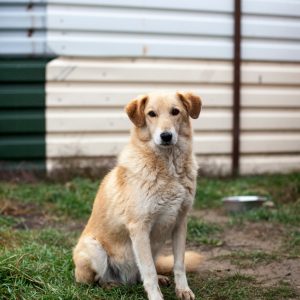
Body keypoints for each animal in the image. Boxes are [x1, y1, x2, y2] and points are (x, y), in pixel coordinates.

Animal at [73, 92, 202, 300]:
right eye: (151, 114)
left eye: (175, 111)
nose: (166, 136)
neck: (170, 168)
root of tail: (127, 279)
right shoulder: (139, 227)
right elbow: (148, 271)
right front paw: (156, 297)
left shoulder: (180, 222)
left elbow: (179, 264)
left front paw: (183, 290)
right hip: (94, 249)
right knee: (96, 281)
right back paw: (111, 284)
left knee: (143, 275)